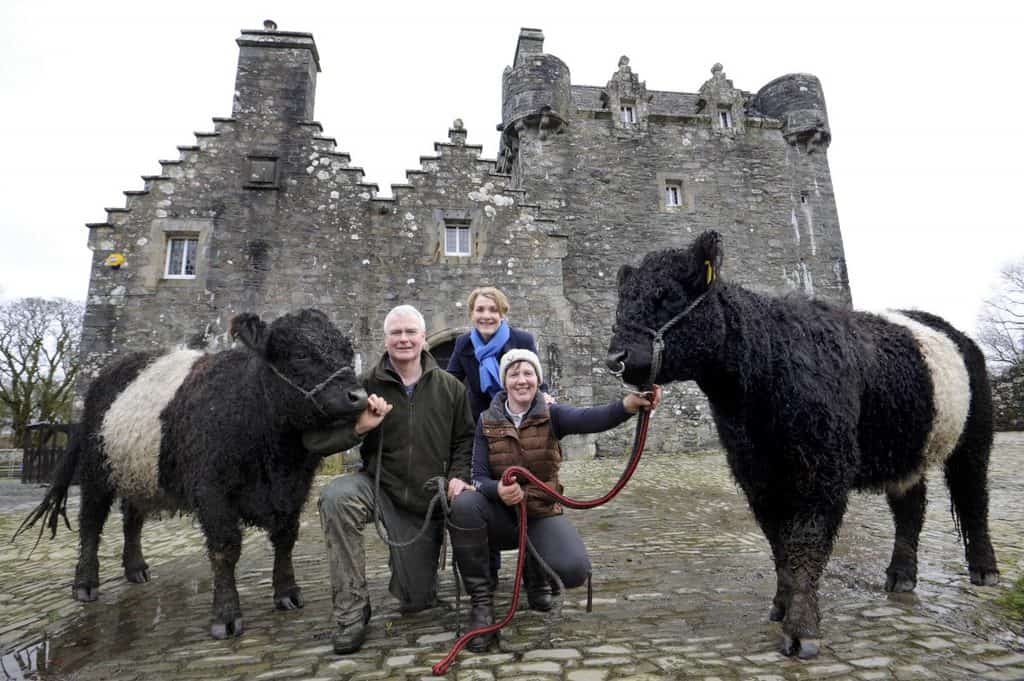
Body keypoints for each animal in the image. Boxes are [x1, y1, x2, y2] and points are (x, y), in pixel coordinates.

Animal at [16, 307, 368, 639]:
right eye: (300, 354)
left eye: (347, 352)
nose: (359, 397)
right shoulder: (212, 492)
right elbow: (225, 549)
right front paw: (226, 617)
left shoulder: (294, 490)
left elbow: (285, 539)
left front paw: (287, 594)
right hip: (97, 471)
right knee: (91, 522)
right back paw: (85, 584)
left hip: (139, 474)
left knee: (132, 519)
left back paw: (136, 569)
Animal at [606, 231, 999, 655]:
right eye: (622, 301)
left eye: (667, 295)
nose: (616, 357)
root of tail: (953, 331)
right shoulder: (755, 473)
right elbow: (779, 542)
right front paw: (781, 605)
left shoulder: (824, 467)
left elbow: (806, 541)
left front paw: (802, 629)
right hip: (907, 448)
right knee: (910, 507)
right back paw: (900, 576)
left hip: (975, 437)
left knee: (974, 497)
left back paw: (985, 571)